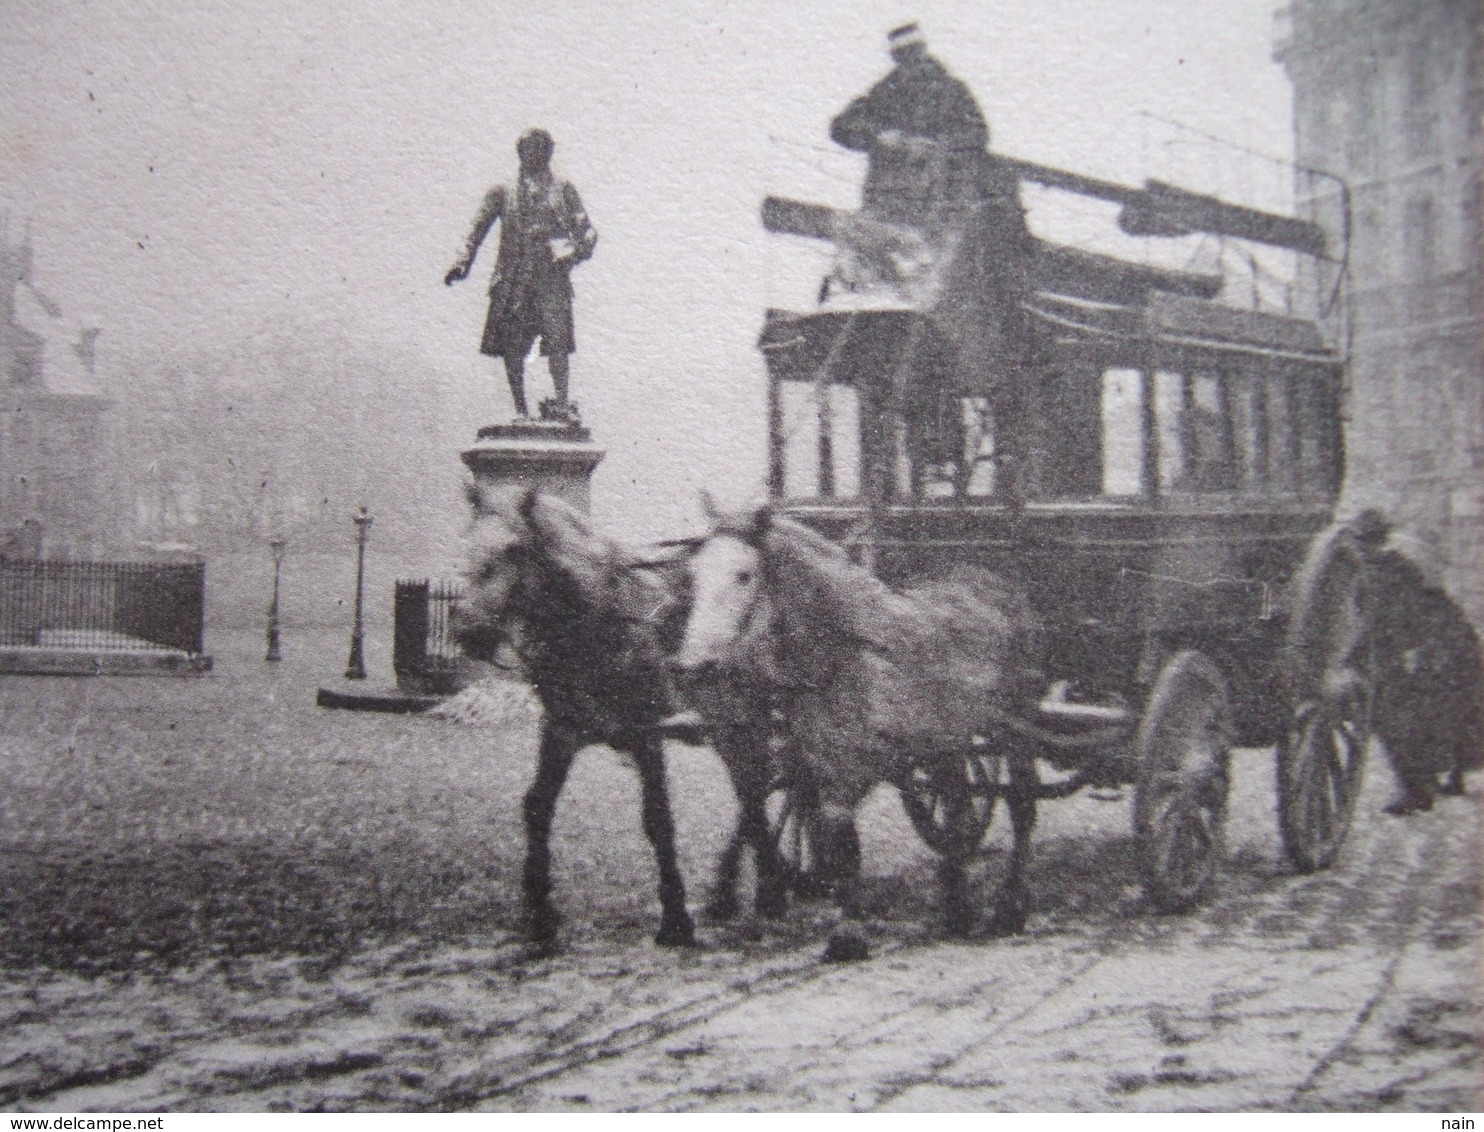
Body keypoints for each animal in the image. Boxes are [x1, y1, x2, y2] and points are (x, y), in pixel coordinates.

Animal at [457, 486, 789, 949]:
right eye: (465, 542)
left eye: (513, 548)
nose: (470, 633)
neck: (597, 622)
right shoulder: (561, 730)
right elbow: (538, 805)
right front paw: (540, 914)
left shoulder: (645, 734)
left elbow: (658, 820)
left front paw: (675, 919)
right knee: (756, 789)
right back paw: (748, 889)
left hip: (742, 719)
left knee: (758, 787)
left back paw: (767, 886)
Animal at [676, 501, 1044, 937]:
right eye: (693, 573)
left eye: (743, 574)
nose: (691, 667)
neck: (843, 655)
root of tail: (997, 585)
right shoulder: (820, 766)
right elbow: (829, 842)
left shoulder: (852, 769)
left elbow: (845, 852)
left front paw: (845, 933)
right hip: (948, 742)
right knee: (958, 809)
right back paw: (958, 911)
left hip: (1014, 726)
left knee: (1021, 806)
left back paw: (1010, 909)